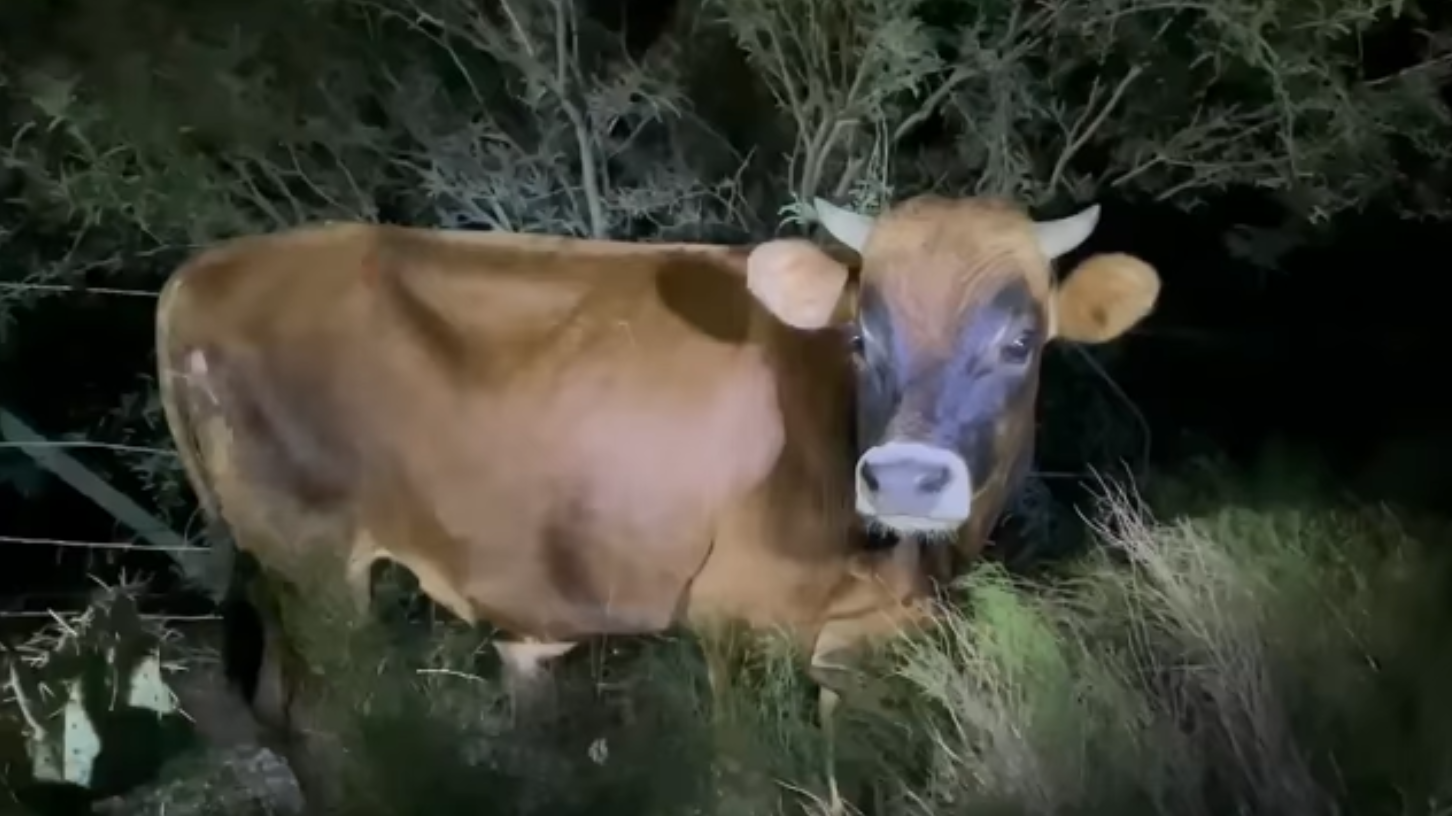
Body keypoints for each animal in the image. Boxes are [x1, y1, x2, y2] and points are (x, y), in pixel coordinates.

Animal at [155, 192, 1159, 810]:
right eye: (862, 337)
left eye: (1020, 341)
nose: (906, 476)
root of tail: (203, 270)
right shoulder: (738, 621)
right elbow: (753, 775)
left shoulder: (867, 636)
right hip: (314, 562)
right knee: (332, 720)